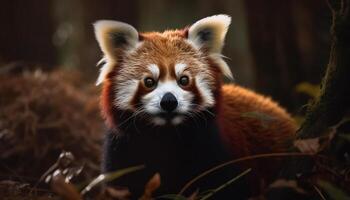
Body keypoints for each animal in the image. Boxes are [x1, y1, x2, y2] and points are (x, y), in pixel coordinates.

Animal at [93, 14, 296, 198]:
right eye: (149, 82)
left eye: (184, 80)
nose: (169, 101)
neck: (166, 135)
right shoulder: (122, 150)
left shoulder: (216, 149)